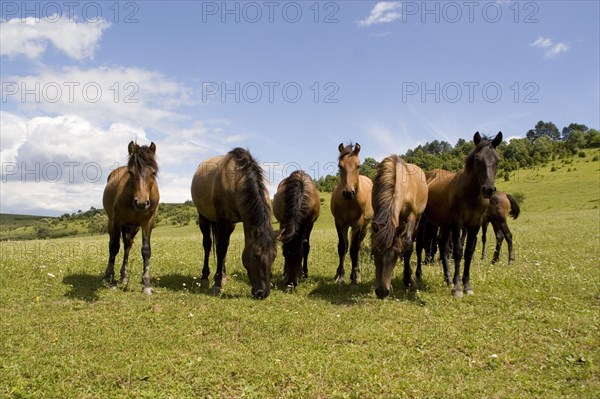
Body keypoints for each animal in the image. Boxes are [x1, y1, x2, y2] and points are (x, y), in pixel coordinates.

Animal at [102, 142, 159, 296]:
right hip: (112, 223)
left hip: (133, 227)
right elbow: (114, 247)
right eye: (131, 172)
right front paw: (111, 280)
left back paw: (124, 276)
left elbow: (146, 250)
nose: (141, 203)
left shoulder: (147, 223)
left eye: (153, 173)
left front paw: (146, 284)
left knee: (127, 246)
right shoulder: (117, 221)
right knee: (112, 244)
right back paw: (109, 275)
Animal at [191, 148, 278, 298]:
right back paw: (205, 277)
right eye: (257, 255)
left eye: (274, 256)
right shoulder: (222, 220)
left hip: (228, 225)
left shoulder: (229, 223)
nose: (263, 293)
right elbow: (220, 249)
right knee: (208, 245)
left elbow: (224, 248)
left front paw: (221, 277)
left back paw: (223, 274)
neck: (235, 182)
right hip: (204, 217)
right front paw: (217, 284)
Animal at [330, 142, 372, 286]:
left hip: (365, 227)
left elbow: (354, 250)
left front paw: (354, 278)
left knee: (357, 246)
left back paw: (356, 273)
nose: (348, 193)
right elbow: (342, 247)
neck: (349, 202)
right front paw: (340, 276)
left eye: (358, 165)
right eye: (340, 166)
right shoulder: (339, 223)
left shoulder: (357, 224)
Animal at [372, 155, 428, 298]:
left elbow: (407, 245)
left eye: (395, 253)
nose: (382, 292)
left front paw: (408, 281)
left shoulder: (411, 216)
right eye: (374, 252)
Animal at [418, 133, 502, 296]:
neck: (471, 194)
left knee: (442, 245)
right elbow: (457, 251)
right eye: (477, 159)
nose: (488, 189)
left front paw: (467, 285)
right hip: (423, 220)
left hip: (445, 225)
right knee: (419, 244)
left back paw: (448, 278)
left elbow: (468, 252)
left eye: (497, 160)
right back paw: (417, 276)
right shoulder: (457, 224)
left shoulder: (474, 225)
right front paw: (457, 287)